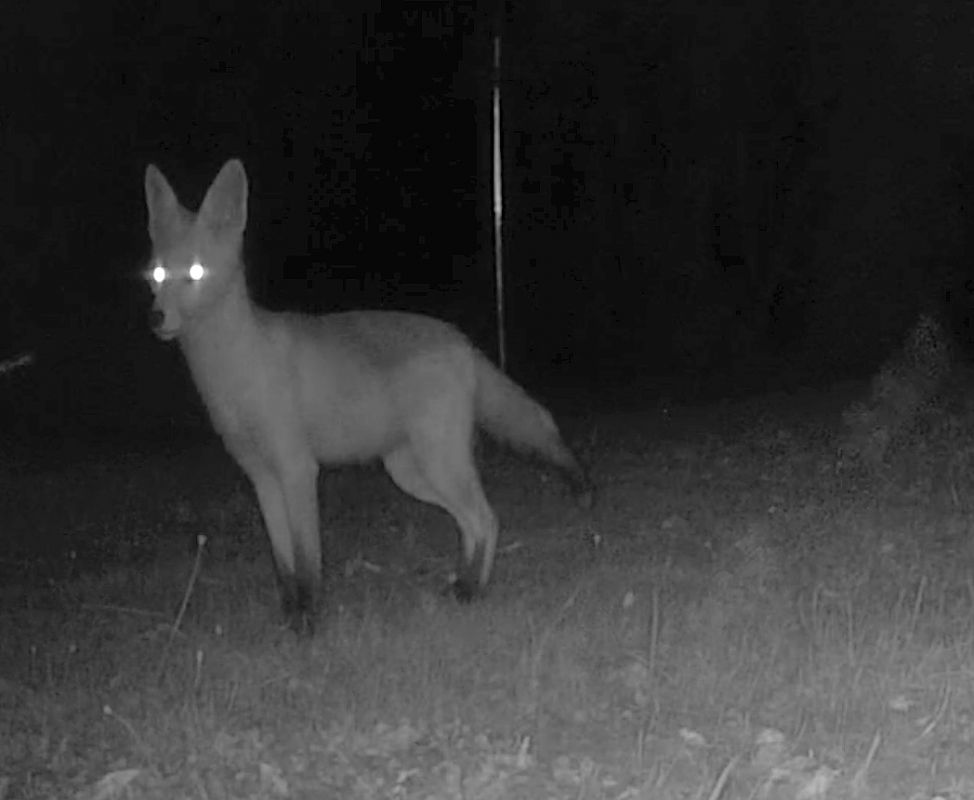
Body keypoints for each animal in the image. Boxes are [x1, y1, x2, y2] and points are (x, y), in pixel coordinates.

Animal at [143, 158, 591, 634]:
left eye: (195, 272)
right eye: (157, 274)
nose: (157, 317)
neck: (235, 374)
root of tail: (461, 340)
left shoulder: (297, 470)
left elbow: (307, 564)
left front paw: (309, 627)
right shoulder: (262, 478)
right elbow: (285, 567)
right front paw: (290, 622)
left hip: (438, 462)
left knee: (487, 518)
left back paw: (474, 591)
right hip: (411, 473)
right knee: (471, 523)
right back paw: (461, 585)